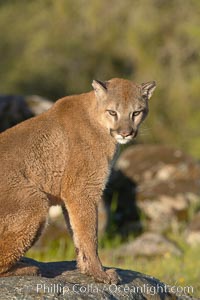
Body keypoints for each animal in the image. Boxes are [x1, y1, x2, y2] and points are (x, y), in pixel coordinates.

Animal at [0, 77, 156, 284]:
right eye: (112, 112)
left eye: (136, 112)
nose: (125, 133)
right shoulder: (82, 189)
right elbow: (90, 235)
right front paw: (100, 273)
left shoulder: (72, 195)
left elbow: (78, 234)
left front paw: (87, 269)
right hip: (34, 202)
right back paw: (27, 269)